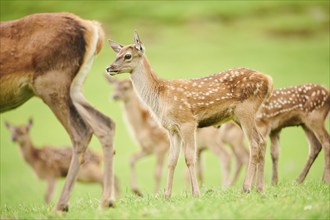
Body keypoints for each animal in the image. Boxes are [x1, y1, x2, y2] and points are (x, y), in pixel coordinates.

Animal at [0, 12, 116, 211]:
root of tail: (93, 28)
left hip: (51, 82)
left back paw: (61, 206)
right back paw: (106, 200)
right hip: (75, 87)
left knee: (82, 131)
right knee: (105, 123)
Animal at [106, 31, 274, 197]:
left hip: (246, 110)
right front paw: (167, 195)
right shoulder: (172, 129)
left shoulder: (187, 121)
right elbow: (172, 160)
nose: (109, 68)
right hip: (238, 116)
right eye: (116, 53)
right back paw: (260, 188)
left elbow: (189, 157)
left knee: (254, 143)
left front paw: (196, 193)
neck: (161, 96)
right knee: (261, 141)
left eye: (127, 55)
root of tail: (269, 80)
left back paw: (246, 187)